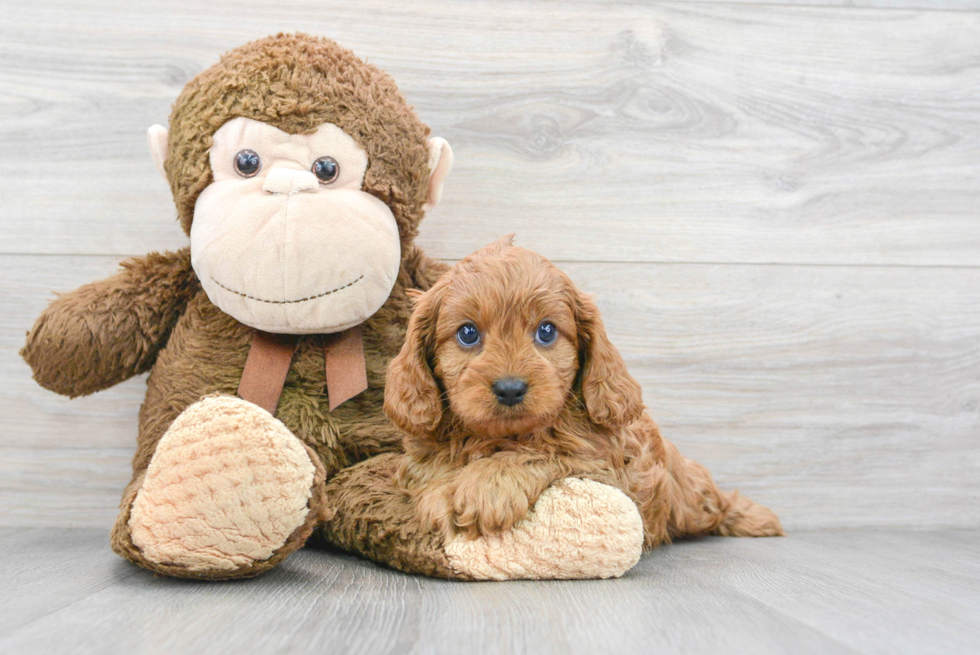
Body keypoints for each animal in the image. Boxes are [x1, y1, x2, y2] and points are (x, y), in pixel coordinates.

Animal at [386, 238, 784, 544]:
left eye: (547, 331)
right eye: (468, 333)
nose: (510, 389)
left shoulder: (603, 464)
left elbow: (542, 451)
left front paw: (488, 486)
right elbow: (433, 470)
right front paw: (442, 493)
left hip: (689, 492)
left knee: (713, 500)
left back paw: (758, 519)